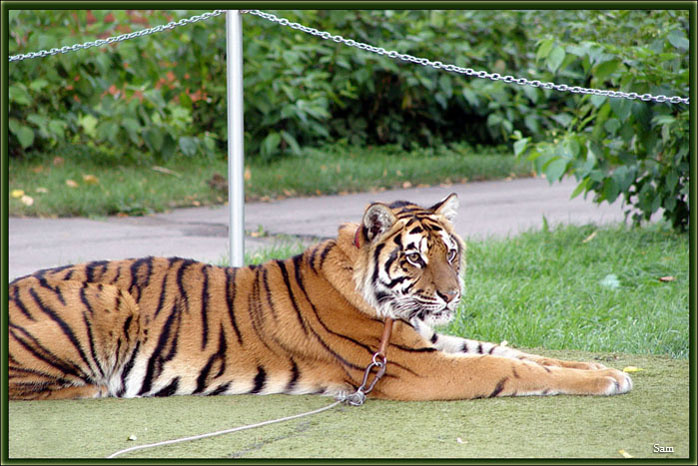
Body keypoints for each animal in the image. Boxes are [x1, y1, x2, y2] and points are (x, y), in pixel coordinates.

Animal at [8, 193, 632, 401]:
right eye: (414, 258)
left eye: (451, 253)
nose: (453, 294)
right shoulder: (416, 369)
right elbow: (511, 368)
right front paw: (605, 380)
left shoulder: (430, 338)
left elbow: (518, 352)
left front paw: (608, 367)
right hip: (105, 302)